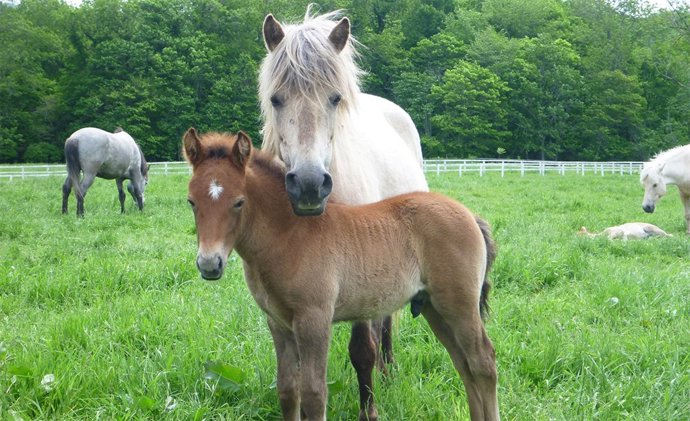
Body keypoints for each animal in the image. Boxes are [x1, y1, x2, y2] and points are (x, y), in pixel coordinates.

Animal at [183, 129, 499, 421]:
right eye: (191, 202)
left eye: (239, 202)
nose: (209, 264)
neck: (288, 236)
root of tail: (470, 216)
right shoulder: (278, 323)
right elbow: (287, 389)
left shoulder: (314, 319)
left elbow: (314, 393)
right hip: (434, 307)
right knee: (464, 365)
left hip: (459, 305)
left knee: (483, 361)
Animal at [259, 9, 429, 418]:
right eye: (276, 99)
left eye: (334, 98)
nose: (308, 184)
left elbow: (362, 351)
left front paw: (369, 409)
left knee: (385, 323)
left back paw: (388, 370)